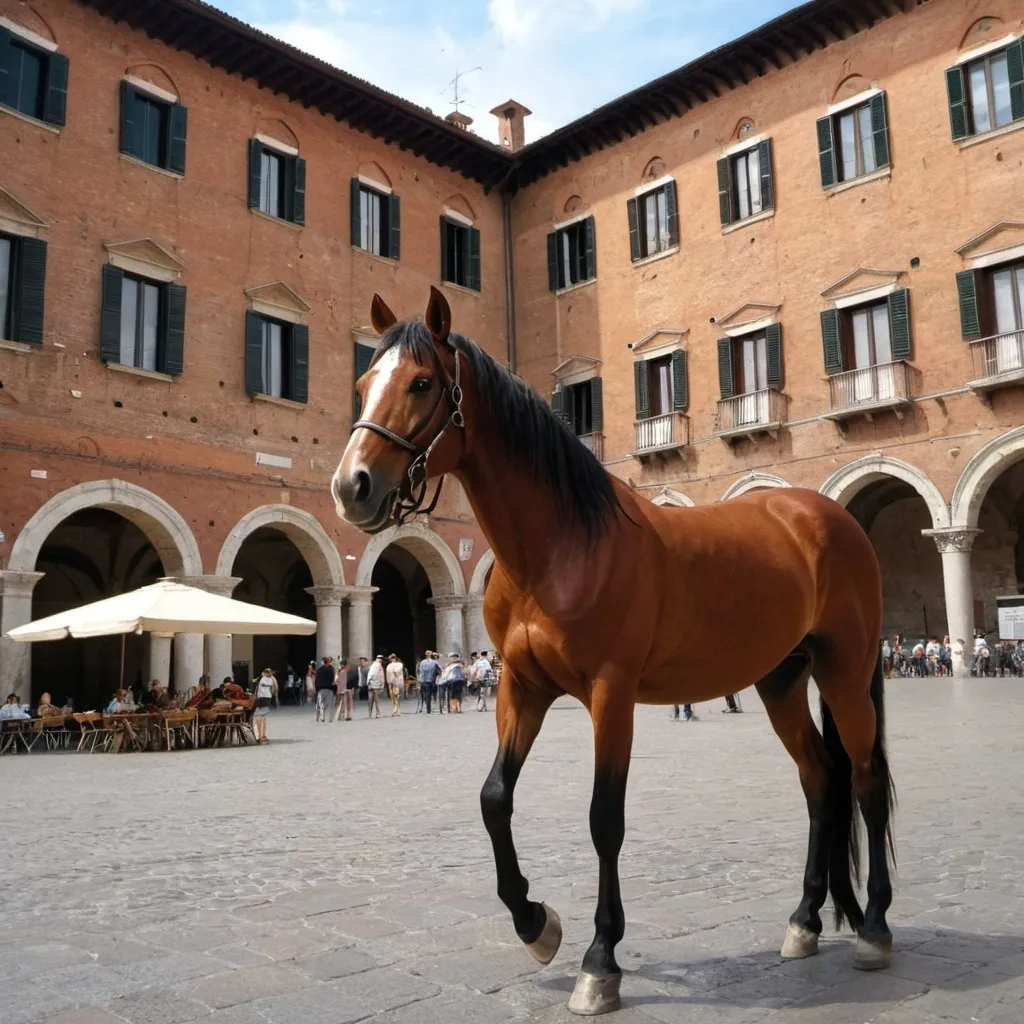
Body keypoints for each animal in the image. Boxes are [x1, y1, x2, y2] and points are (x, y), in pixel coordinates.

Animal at [329, 288, 897, 1015]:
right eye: (363, 385)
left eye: (422, 383)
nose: (352, 486)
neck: (561, 545)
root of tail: (828, 515)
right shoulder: (521, 688)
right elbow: (493, 798)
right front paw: (535, 923)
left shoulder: (611, 691)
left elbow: (605, 819)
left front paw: (600, 960)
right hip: (780, 681)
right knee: (822, 782)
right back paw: (804, 920)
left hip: (847, 672)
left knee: (867, 781)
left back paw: (873, 927)